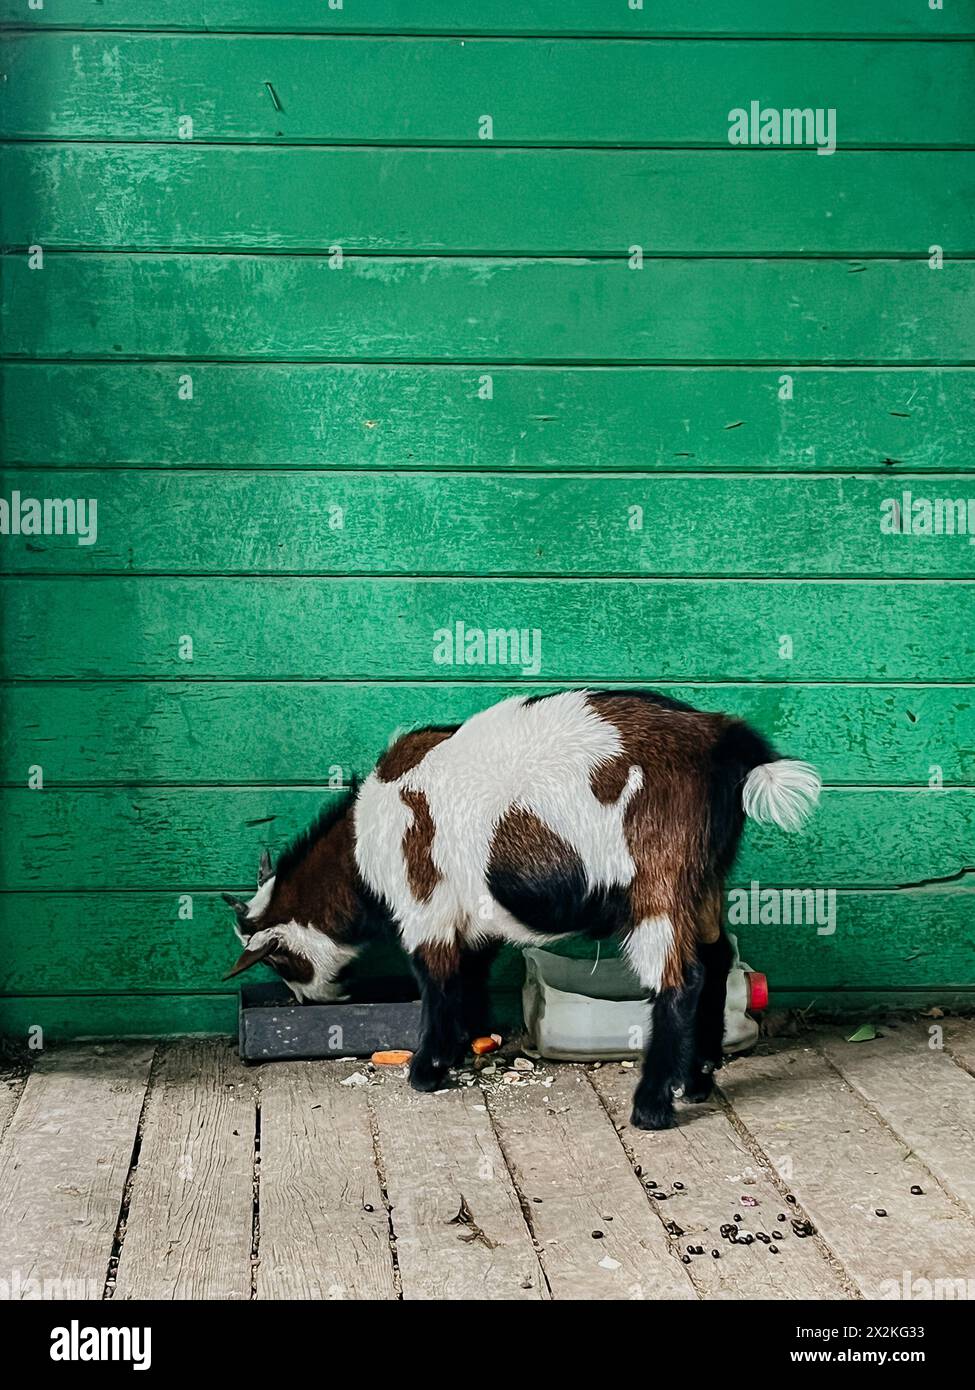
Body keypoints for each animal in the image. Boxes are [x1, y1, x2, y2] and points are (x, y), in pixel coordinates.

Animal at [223, 683, 817, 1128]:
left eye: (279, 960)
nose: (308, 1002)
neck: (364, 841)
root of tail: (721, 739)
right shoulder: (473, 914)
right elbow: (471, 973)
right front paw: (464, 1046)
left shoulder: (425, 905)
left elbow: (436, 980)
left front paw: (427, 1069)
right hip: (705, 879)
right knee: (717, 960)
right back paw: (697, 1080)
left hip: (659, 880)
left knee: (681, 980)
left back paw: (652, 1106)